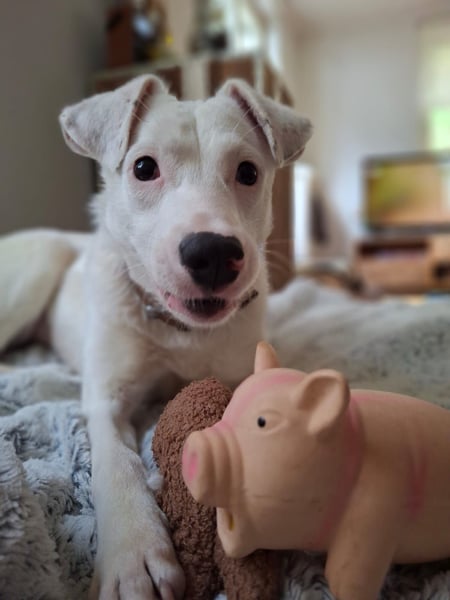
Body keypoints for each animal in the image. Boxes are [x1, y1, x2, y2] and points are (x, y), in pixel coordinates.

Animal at [0, 75, 312, 599]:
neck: (180, 329)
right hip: (39, 263)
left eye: (248, 172)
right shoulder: (106, 400)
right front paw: (135, 552)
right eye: (144, 167)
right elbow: (117, 462)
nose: (213, 253)